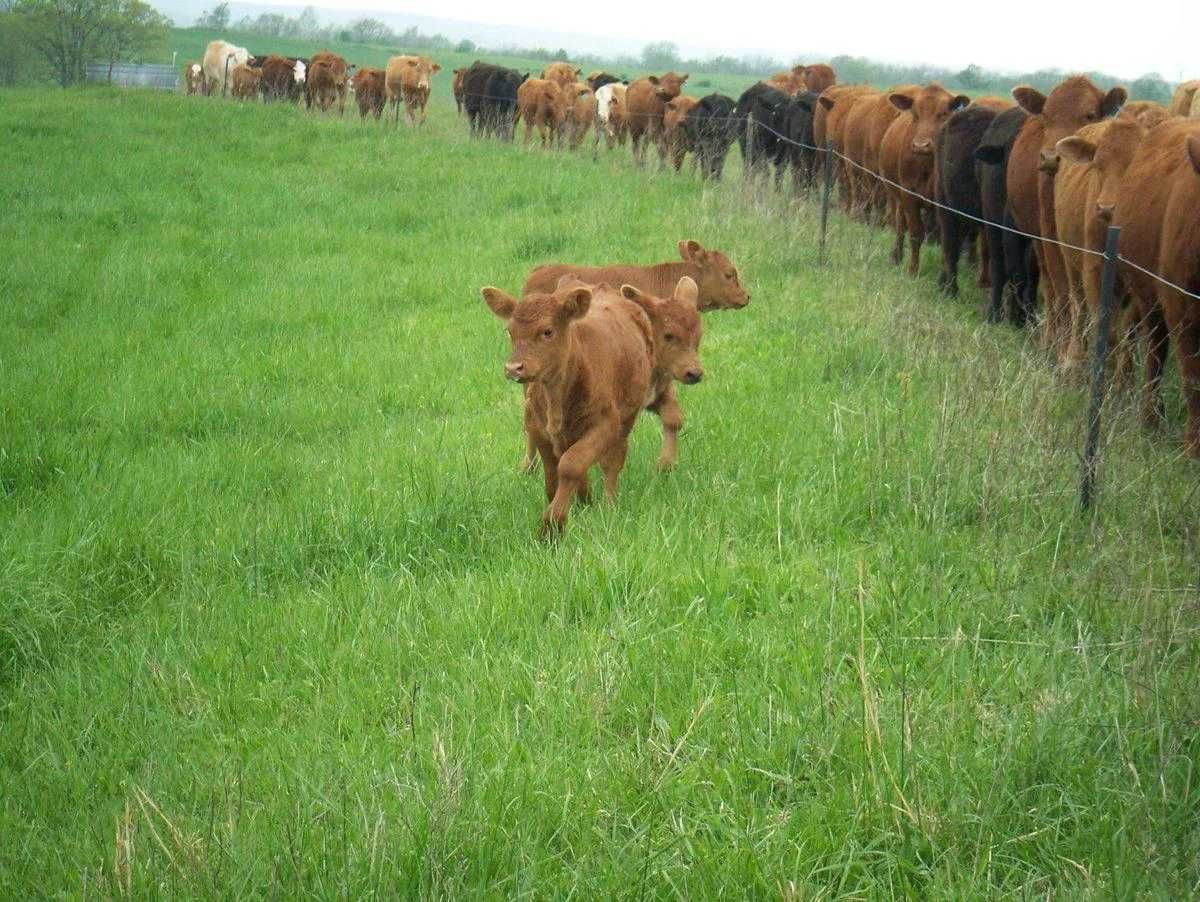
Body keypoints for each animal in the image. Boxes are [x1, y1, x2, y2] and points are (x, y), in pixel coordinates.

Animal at [883, 83, 974, 274]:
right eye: (915, 114)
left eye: (943, 114)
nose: (921, 145)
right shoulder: (909, 195)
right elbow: (916, 233)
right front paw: (913, 270)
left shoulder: (945, 204)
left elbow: (947, 240)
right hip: (899, 197)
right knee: (901, 225)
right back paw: (896, 256)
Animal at [974, 108, 1041, 326]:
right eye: (1010, 158)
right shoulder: (1007, 230)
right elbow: (1015, 271)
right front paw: (1016, 317)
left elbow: (1031, 273)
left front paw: (1029, 317)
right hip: (992, 224)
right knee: (999, 266)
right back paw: (995, 313)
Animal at [1012, 74, 1123, 362]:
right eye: (1046, 115)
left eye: (1090, 115)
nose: (1052, 157)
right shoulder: (1050, 240)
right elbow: (1062, 294)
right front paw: (1058, 350)